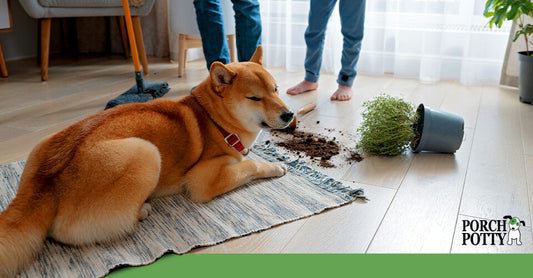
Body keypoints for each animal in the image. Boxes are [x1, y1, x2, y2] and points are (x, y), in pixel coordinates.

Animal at [0, 45, 290, 276]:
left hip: (43, 144)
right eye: (254, 98)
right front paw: (276, 166)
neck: (214, 120)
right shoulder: (203, 180)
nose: (289, 114)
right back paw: (142, 210)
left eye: (276, 90)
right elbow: (250, 164)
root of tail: (45, 184)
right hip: (147, 153)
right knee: (75, 231)